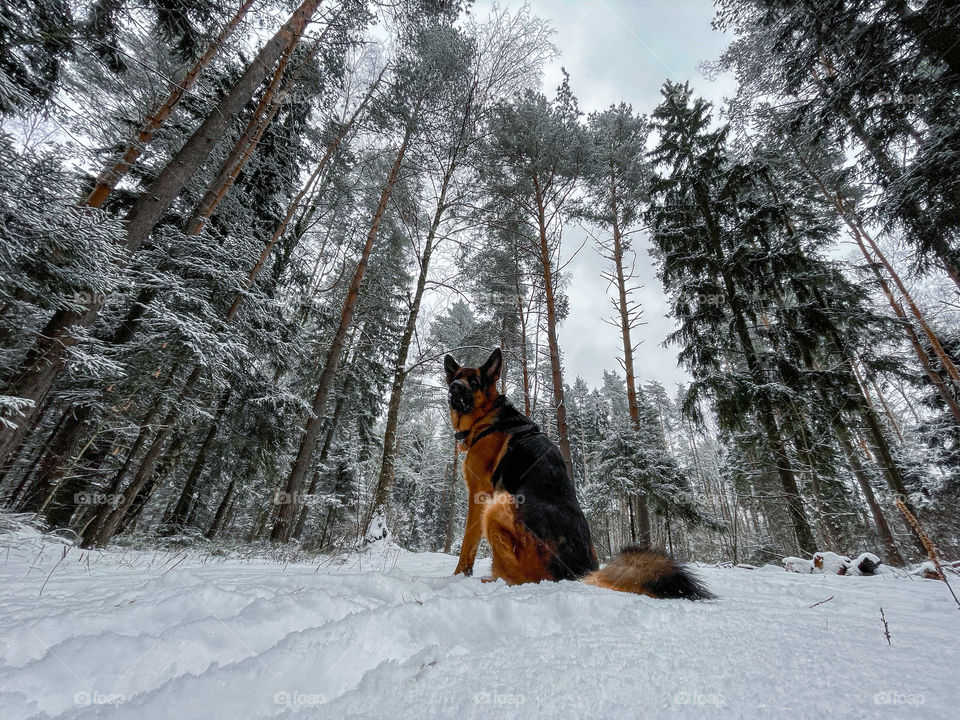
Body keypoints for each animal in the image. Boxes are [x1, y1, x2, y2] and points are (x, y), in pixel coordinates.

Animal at [446, 352, 708, 600]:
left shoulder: (479, 495)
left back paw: (492, 581)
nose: (454, 387)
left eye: (474, 380)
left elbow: (468, 545)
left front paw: (457, 576)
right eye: (456, 377)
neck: (487, 415)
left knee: (524, 579)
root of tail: (581, 573)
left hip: (497, 509)